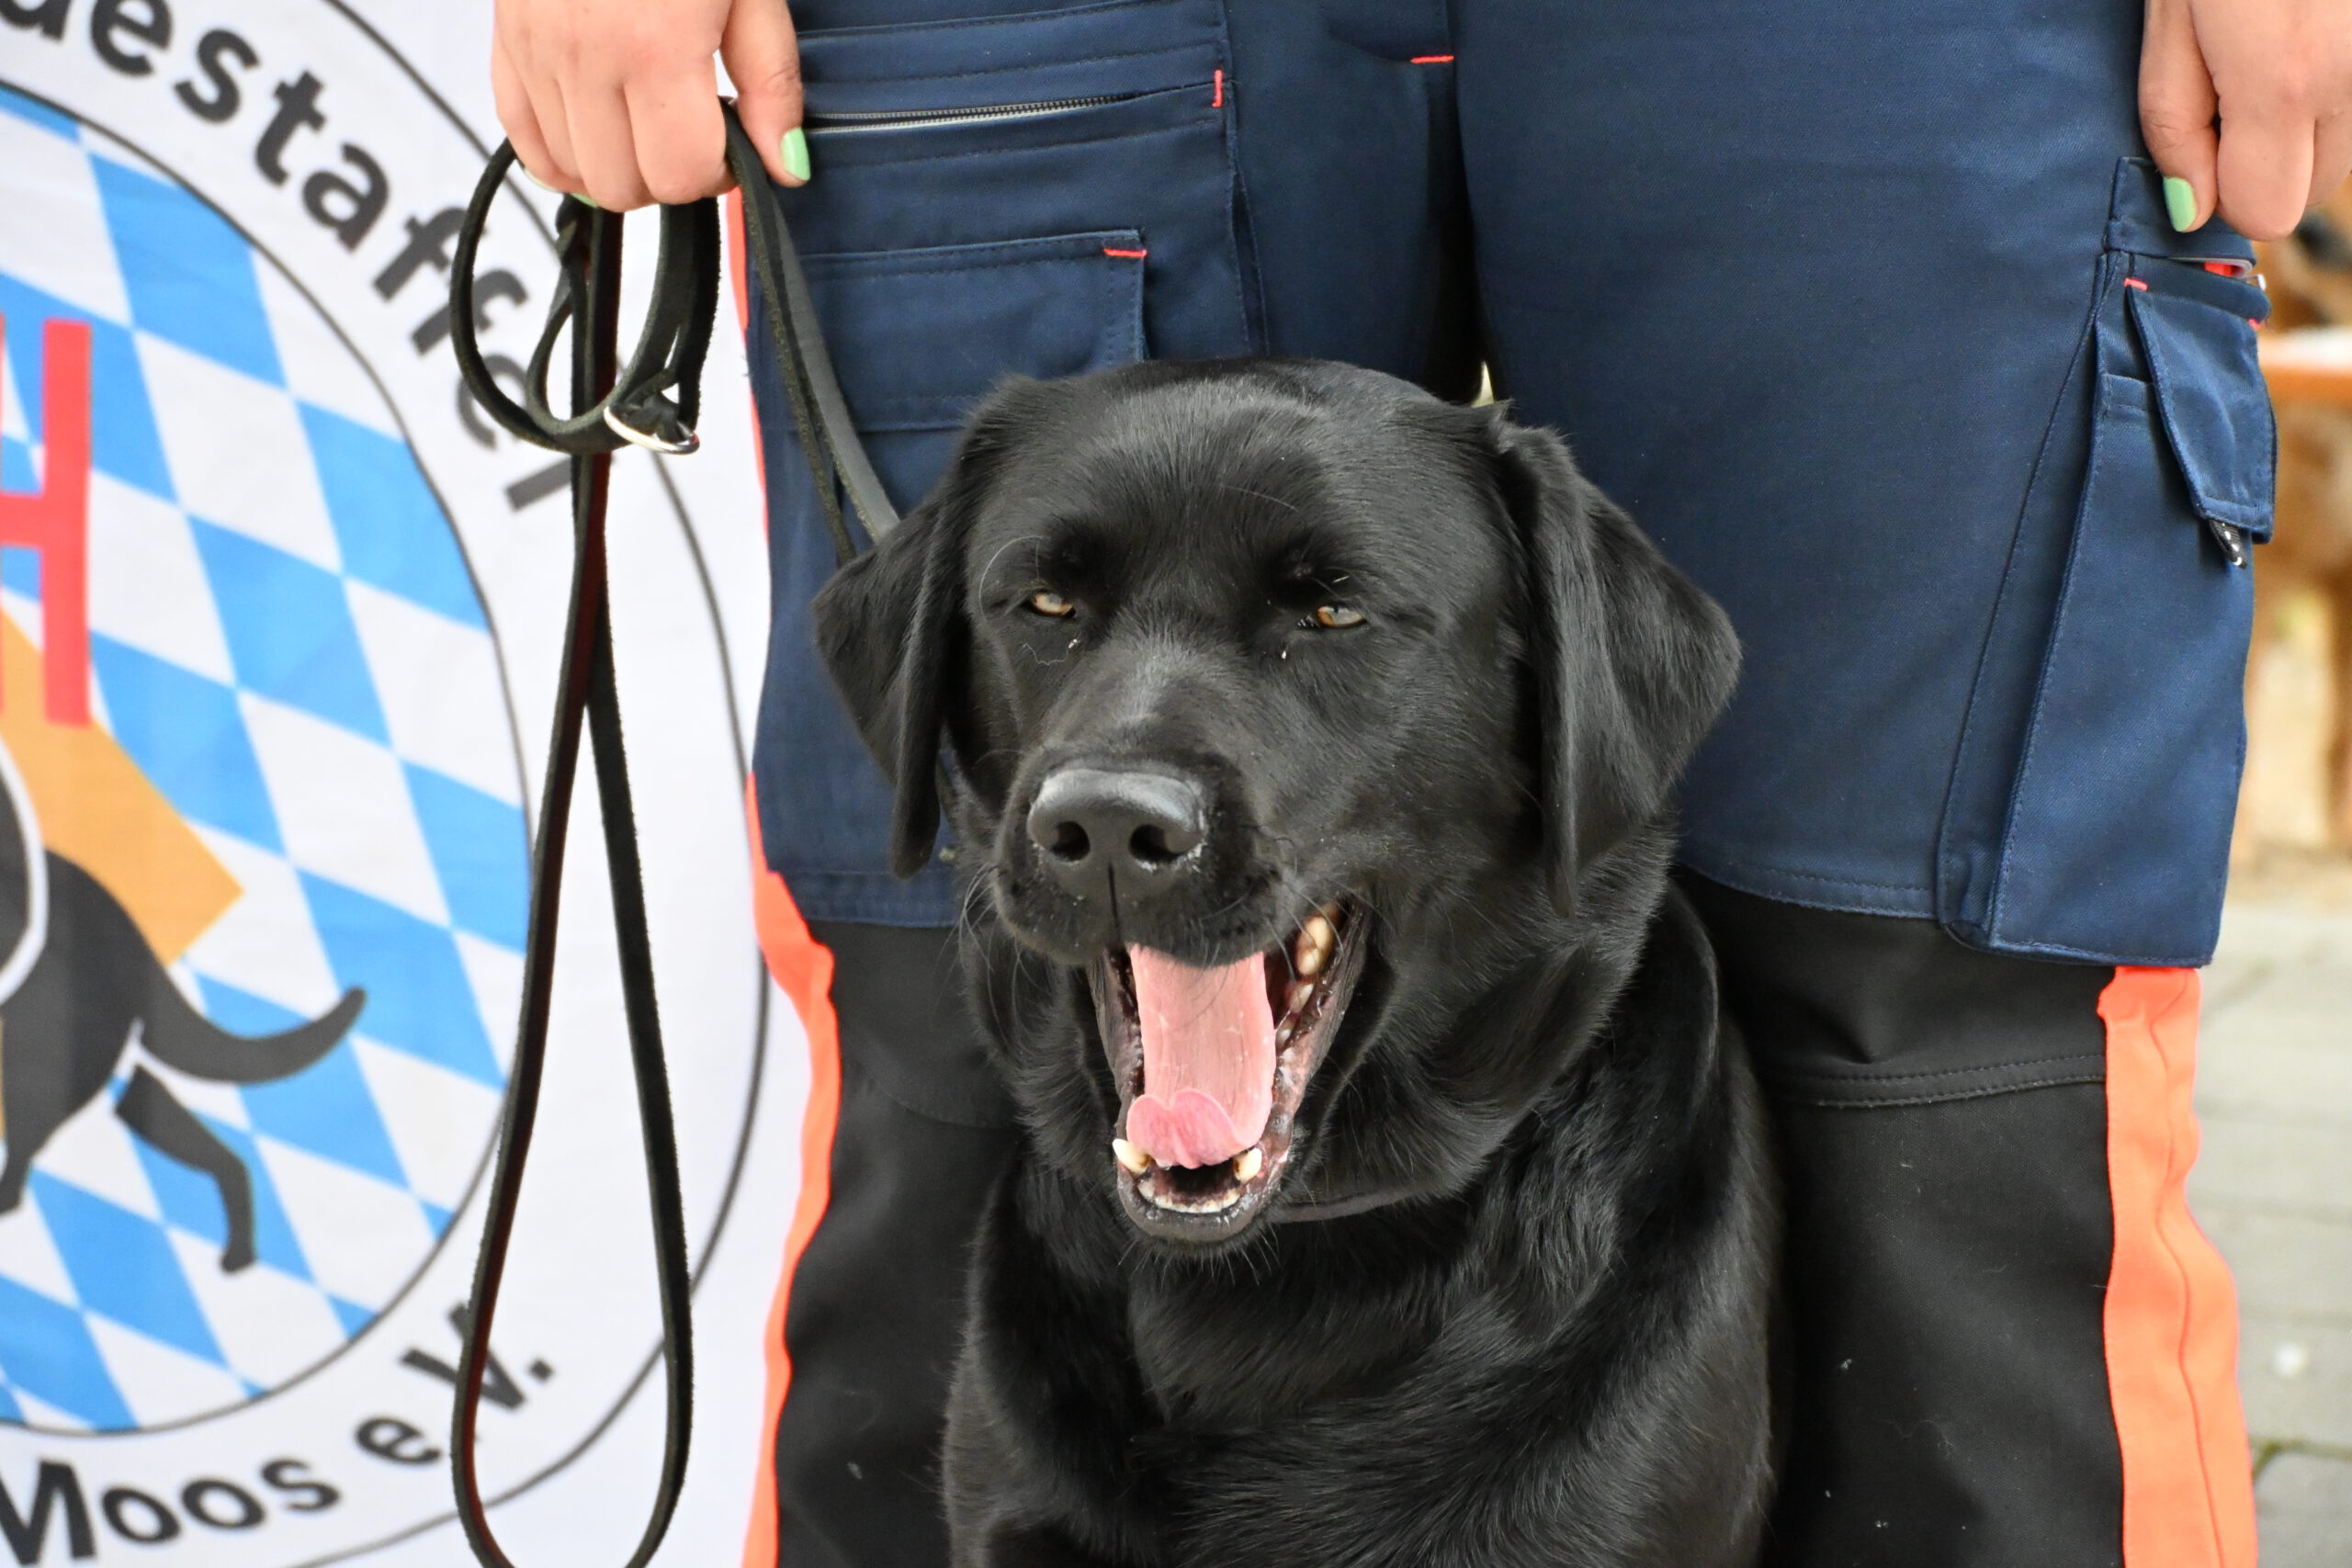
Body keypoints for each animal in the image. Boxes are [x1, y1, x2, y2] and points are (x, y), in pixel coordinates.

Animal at [0, 742, 366, 1273]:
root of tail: (131, 937)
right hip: (121, 1077)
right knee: (218, 1153)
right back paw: (239, 1253)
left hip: (54, 1061)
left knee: (30, 1142)